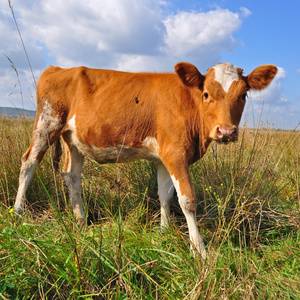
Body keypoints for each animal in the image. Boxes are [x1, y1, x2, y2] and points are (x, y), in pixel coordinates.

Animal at [13, 61, 276, 260]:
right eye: (206, 94)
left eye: (243, 95)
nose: (226, 131)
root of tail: (57, 68)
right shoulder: (176, 153)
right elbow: (187, 200)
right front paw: (200, 251)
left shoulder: (164, 156)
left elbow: (165, 195)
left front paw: (164, 231)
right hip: (46, 124)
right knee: (28, 163)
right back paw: (17, 211)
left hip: (74, 139)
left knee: (72, 175)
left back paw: (80, 221)